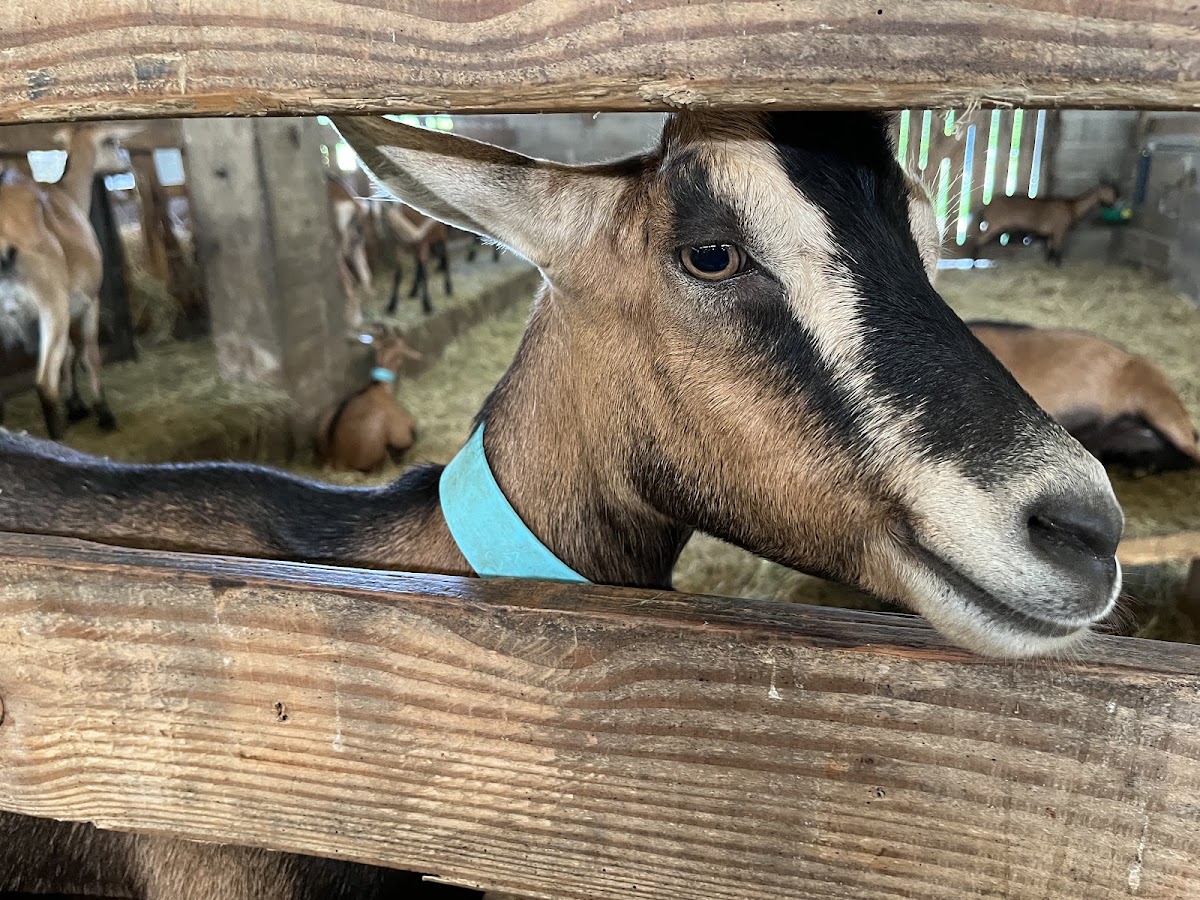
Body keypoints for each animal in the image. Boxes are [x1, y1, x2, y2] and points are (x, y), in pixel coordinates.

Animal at [969, 182, 1118, 264]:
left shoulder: (1052, 232)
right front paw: (1058, 266)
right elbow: (1057, 250)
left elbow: (1050, 249)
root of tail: (986, 206)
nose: (1114, 203)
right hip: (994, 224)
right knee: (978, 240)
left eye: (1114, 191)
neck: (1073, 207)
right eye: (1109, 191)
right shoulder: (1060, 230)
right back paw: (974, 261)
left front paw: (1048, 264)